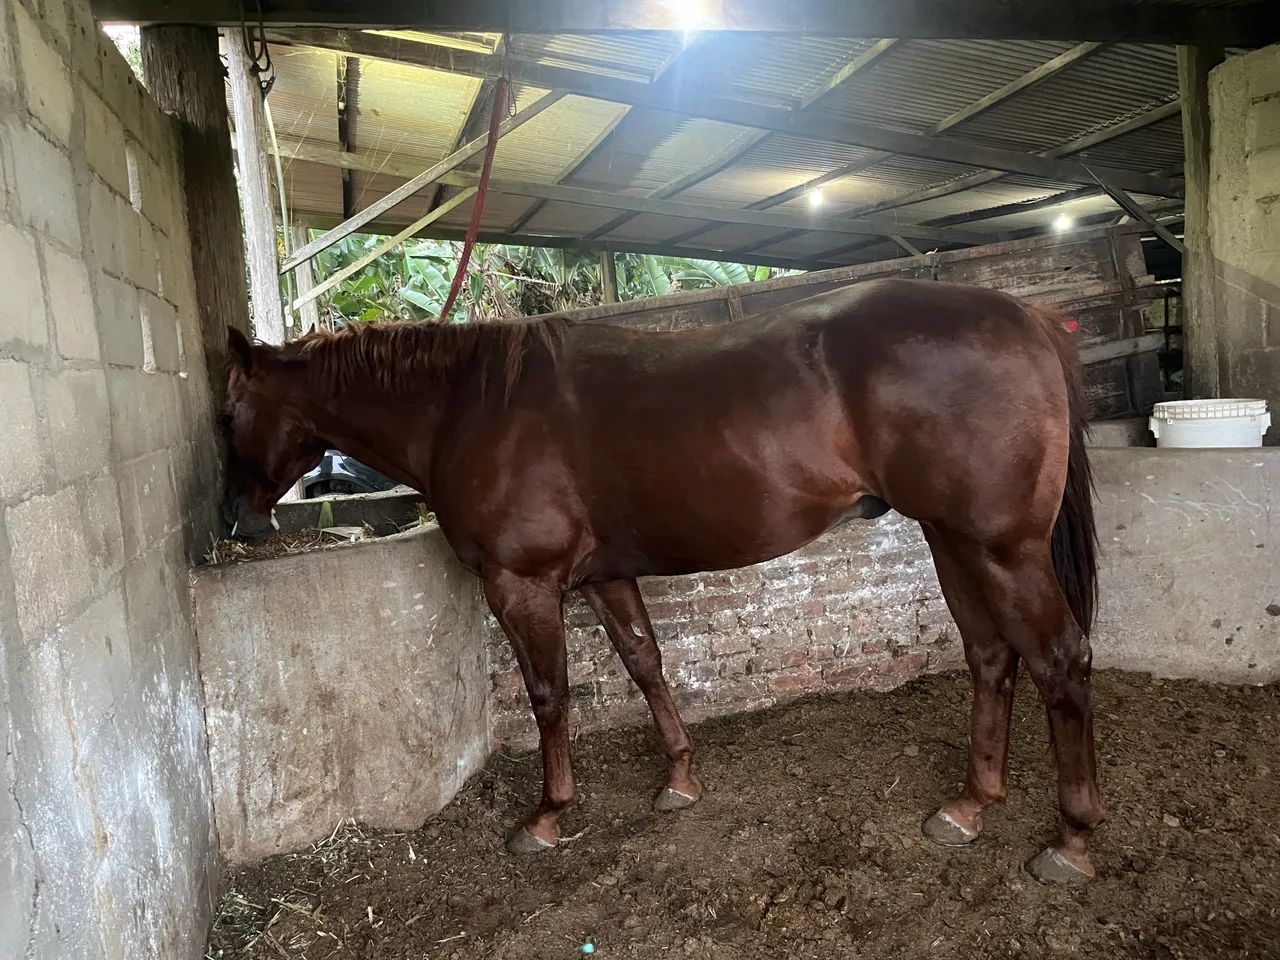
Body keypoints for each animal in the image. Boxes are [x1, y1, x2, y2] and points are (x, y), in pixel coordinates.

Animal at [221, 277, 1103, 885]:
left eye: (228, 413)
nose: (236, 519)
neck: (466, 408)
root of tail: (1026, 317)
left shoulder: (522, 584)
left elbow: (550, 696)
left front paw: (548, 816)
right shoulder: (605, 576)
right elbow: (646, 663)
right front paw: (679, 777)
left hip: (1001, 547)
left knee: (1060, 659)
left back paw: (1071, 837)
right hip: (952, 538)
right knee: (991, 654)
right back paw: (970, 804)